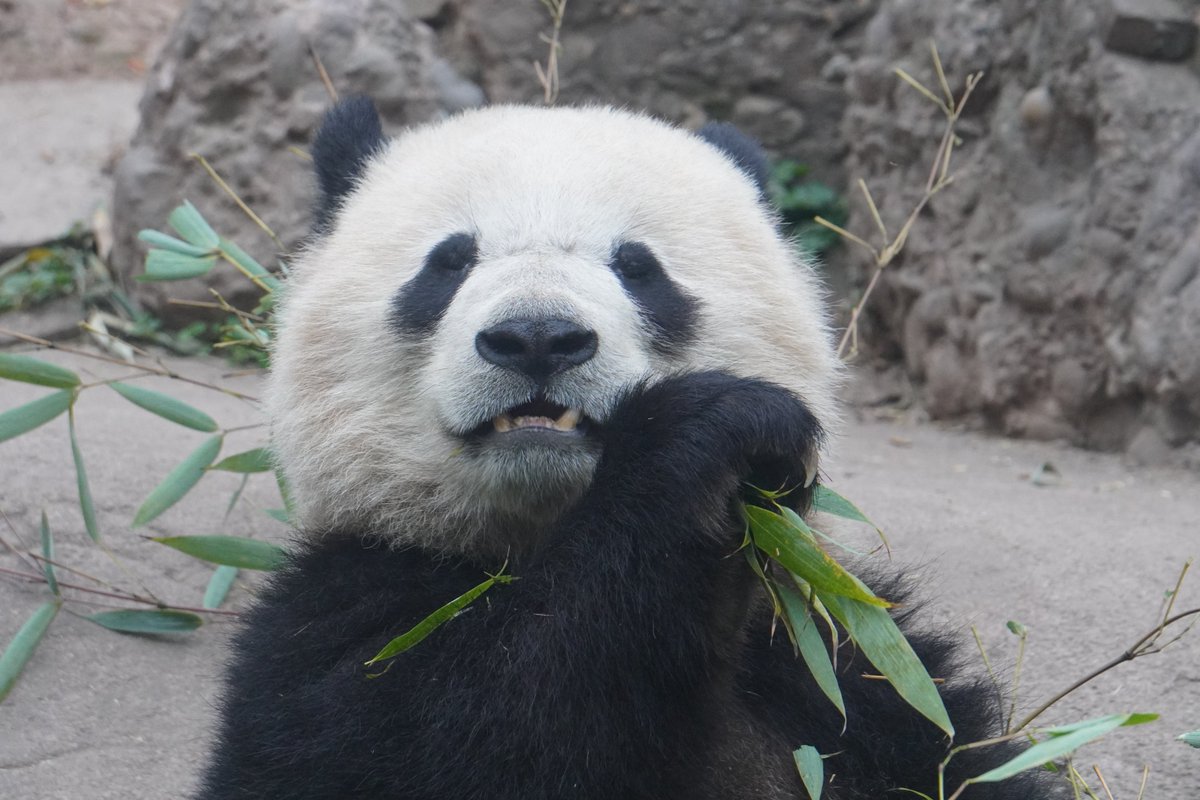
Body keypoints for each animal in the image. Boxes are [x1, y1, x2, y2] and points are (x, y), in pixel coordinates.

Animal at [196, 99, 1055, 800]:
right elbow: (483, 726)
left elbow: (943, 756)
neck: (539, 536)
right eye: (448, 261)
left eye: (639, 267)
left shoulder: (837, 670)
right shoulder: (340, 618)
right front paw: (707, 438)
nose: (538, 338)